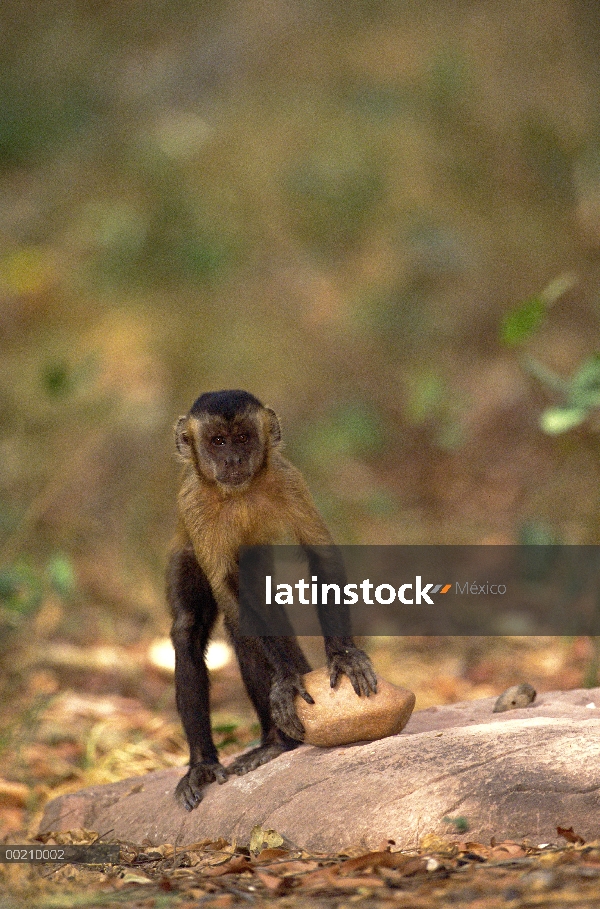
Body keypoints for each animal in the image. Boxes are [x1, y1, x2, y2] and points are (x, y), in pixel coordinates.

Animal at [168, 390, 376, 808]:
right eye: (218, 442)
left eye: (244, 438)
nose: (232, 459)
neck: (238, 494)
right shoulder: (195, 503)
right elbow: (229, 588)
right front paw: (289, 679)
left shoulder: (286, 477)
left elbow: (321, 555)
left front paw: (343, 655)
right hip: (186, 551)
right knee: (194, 627)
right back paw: (203, 763)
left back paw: (277, 743)